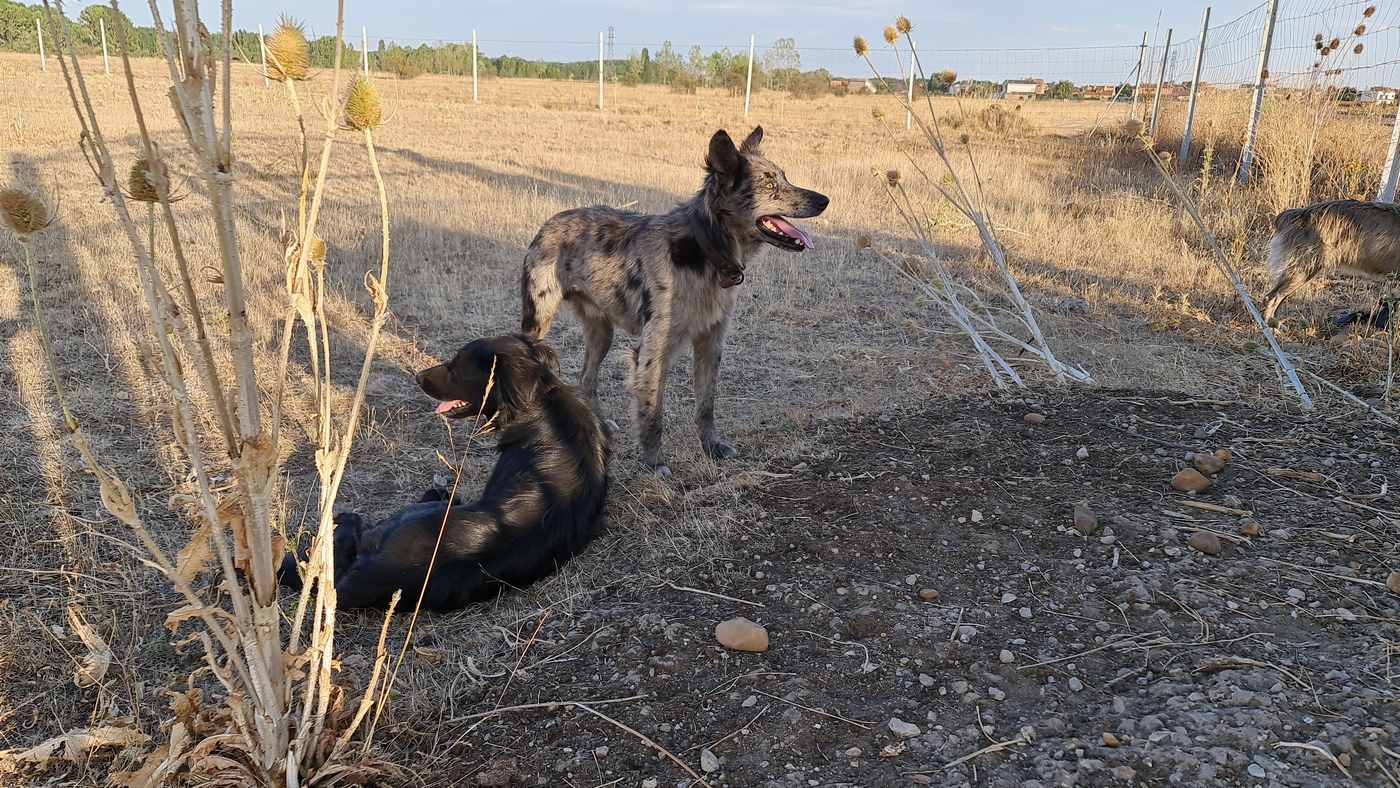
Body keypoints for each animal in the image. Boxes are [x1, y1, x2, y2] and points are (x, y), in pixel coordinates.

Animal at [526, 126, 828, 475]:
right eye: (769, 184)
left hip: (602, 332)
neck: (704, 249)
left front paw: (711, 447)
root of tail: (550, 222)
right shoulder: (653, 350)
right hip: (538, 321)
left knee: (586, 378)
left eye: (784, 177)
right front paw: (654, 462)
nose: (825, 200)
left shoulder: (711, 342)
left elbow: (706, 404)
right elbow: (652, 410)